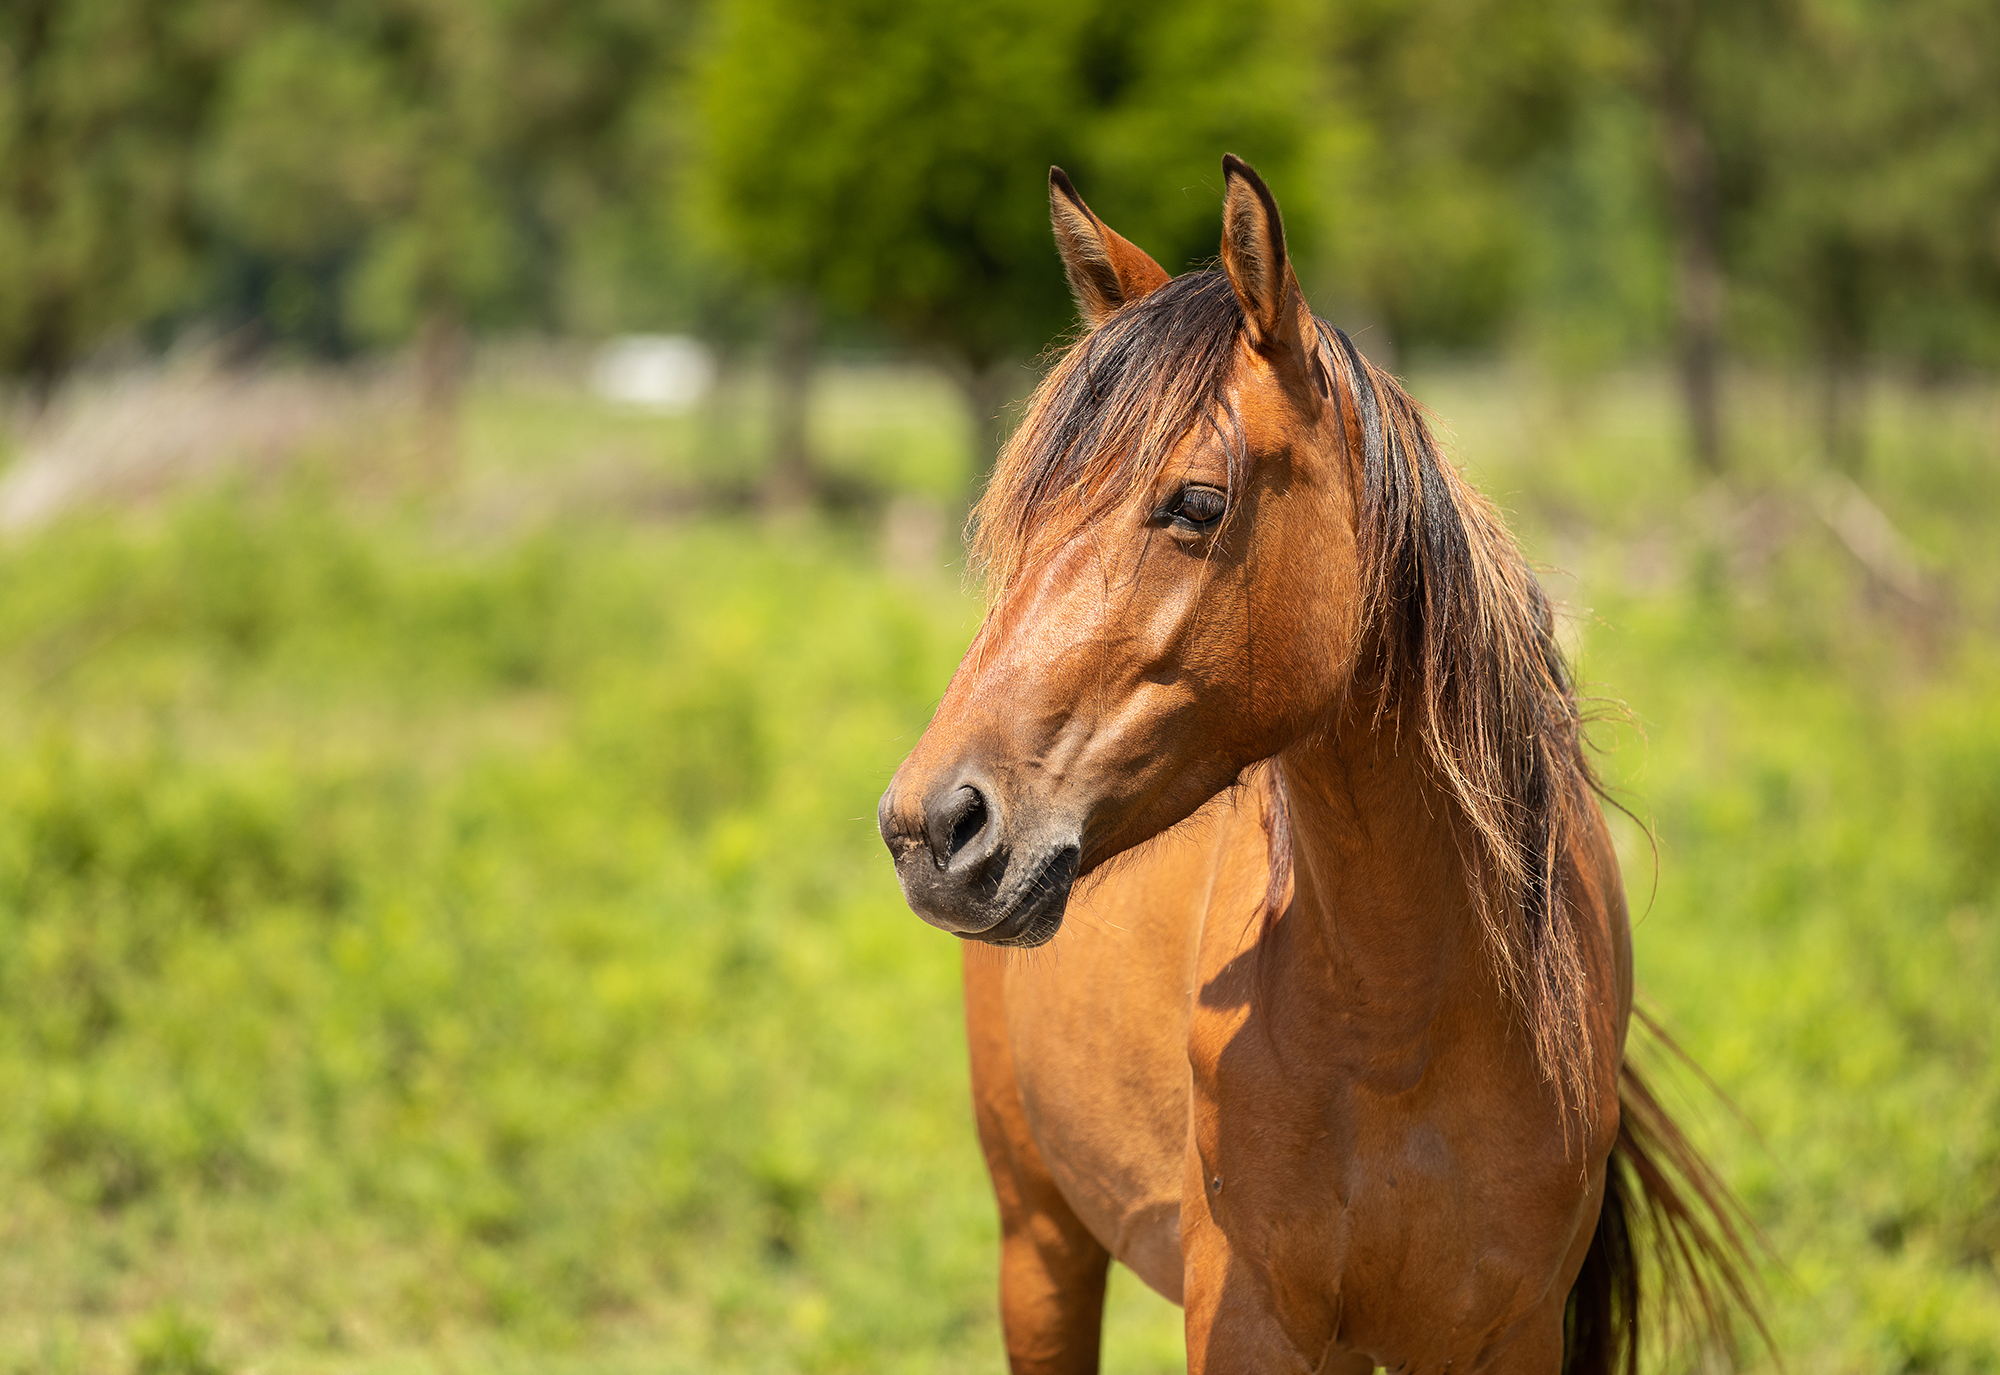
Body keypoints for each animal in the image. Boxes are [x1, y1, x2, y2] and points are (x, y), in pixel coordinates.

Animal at [876, 155, 1752, 1367]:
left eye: (1195, 502)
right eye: (1027, 509)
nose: (931, 824)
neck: (1403, 1023)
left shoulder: (1510, 1330)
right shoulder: (1248, 1318)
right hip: (1040, 1243)